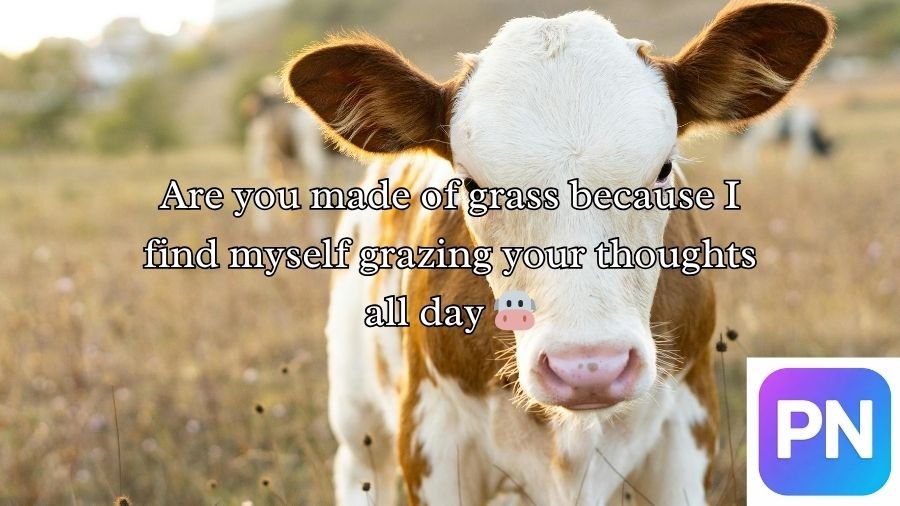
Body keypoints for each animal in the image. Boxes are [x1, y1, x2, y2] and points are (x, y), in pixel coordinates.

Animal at [283, 2, 833, 504]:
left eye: (663, 169)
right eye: (472, 185)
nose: (589, 367)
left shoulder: (687, 426)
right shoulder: (430, 437)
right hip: (359, 423)